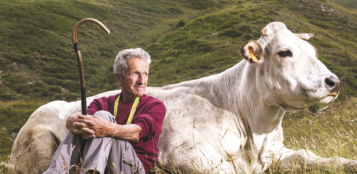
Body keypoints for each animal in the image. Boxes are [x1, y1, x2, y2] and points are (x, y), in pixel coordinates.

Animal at [8, 22, 354, 173]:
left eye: (313, 51)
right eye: (285, 52)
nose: (332, 82)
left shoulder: (276, 152)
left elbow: (313, 157)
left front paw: (348, 162)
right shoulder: (185, 155)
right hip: (38, 145)